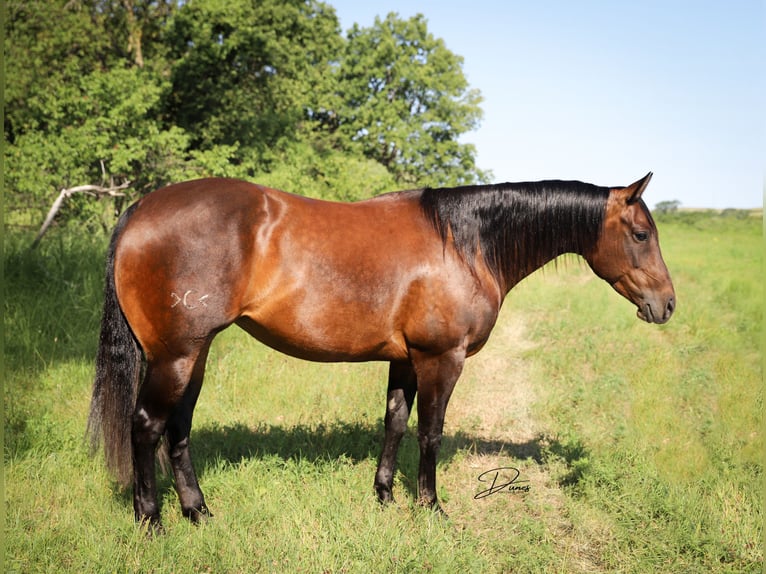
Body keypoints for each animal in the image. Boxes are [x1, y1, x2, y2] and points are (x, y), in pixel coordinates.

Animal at [88, 173, 680, 532]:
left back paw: (199, 512)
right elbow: (430, 432)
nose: (667, 304)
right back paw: (152, 521)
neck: (464, 243)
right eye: (641, 233)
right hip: (176, 356)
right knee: (146, 426)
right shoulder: (441, 358)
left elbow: (394, 422)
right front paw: (431, 507)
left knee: (178, 429)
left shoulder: (405, 359)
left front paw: (385, 496)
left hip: (195, 354)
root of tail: (141, 209)